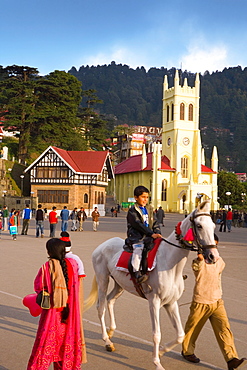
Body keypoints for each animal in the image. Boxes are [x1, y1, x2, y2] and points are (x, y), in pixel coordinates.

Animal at [85, 201, 218, 368]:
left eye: (213, 226)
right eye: (199, 226)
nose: (213, 256)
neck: (170, 263)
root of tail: (102, 245)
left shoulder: (171, 302)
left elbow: (180, 334)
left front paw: (161, 351)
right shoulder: (154, 301)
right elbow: (156, 334)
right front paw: (157, 362)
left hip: (119, 285)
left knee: (110, 301)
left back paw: (111, 331)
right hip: (103, 279)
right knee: (101, 307)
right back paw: (107, 341)